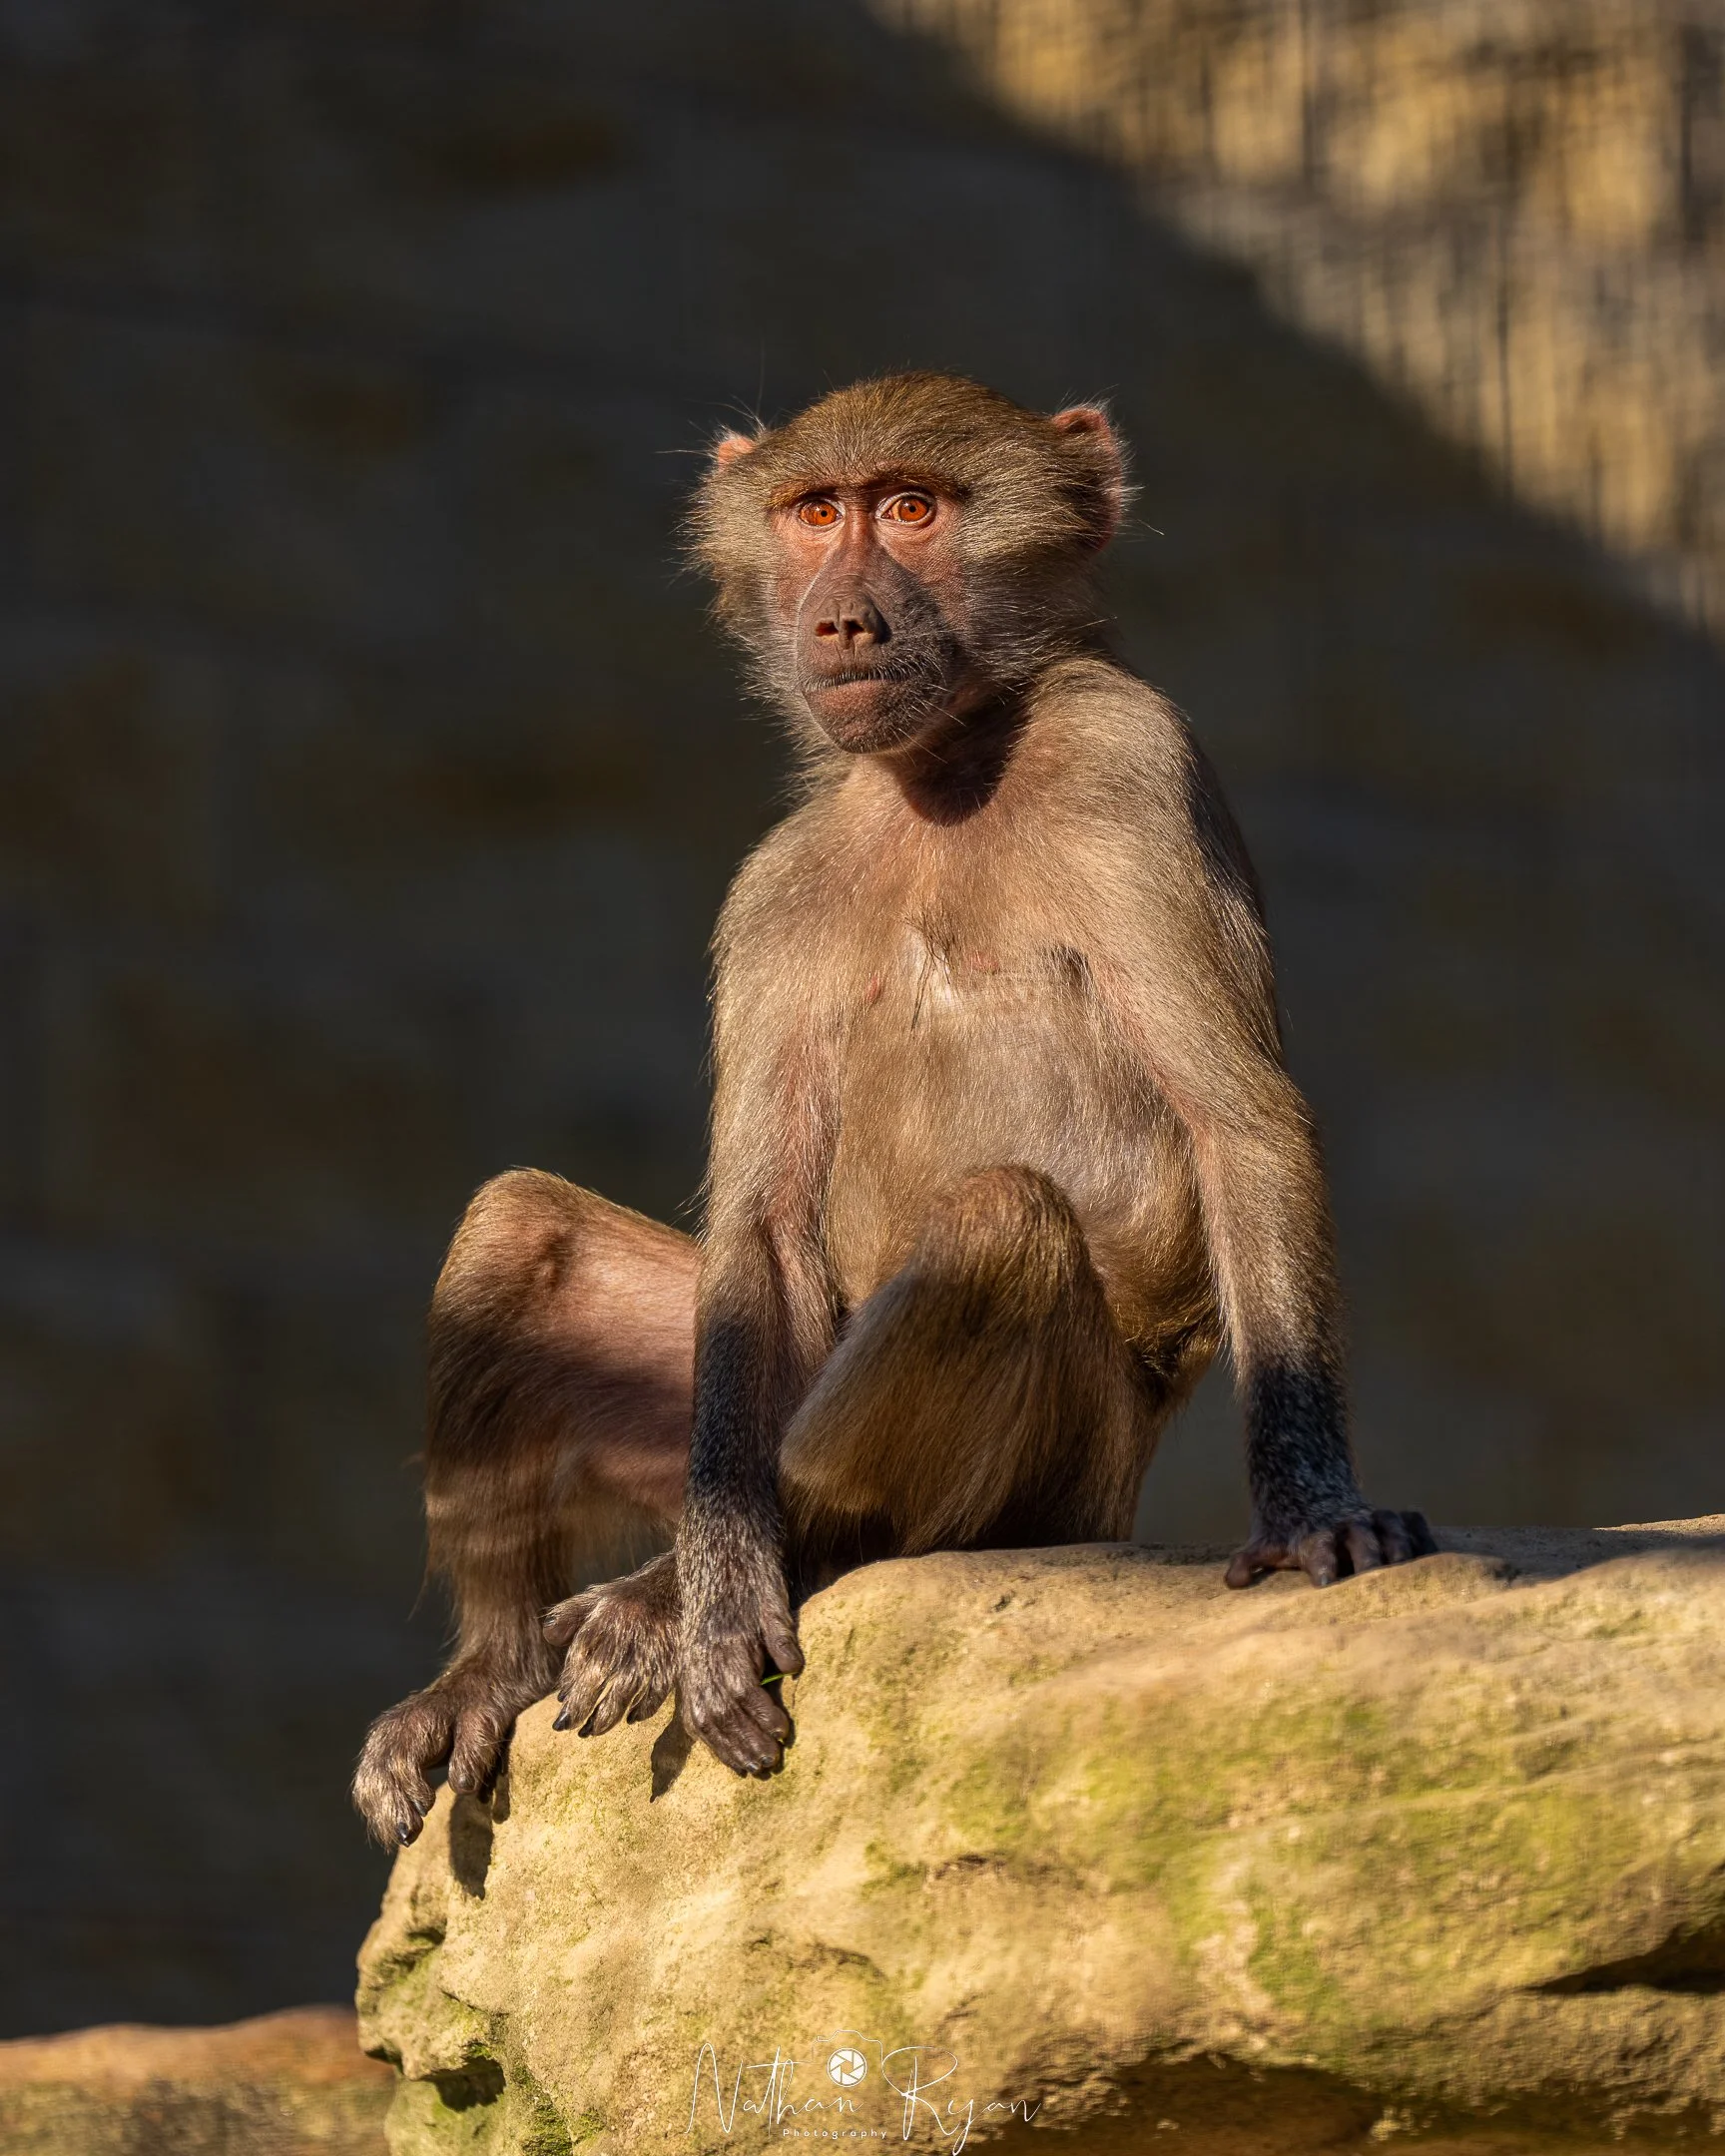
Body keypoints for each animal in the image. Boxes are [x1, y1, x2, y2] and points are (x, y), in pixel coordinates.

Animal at [352, 372, 1434, 1845]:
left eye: (913, 509)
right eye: (817, 515)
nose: (842, 620)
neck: (945, 767)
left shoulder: (1131, 764)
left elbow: (1238, 1123)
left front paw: (1320, 1510)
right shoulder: (775, 889)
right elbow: (758, 1221)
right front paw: (719, 1592)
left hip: (1060, 1486)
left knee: (995, 1227)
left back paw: (698, 1582)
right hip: (762, 1382)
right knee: (523, 1234)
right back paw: (512, 1660)